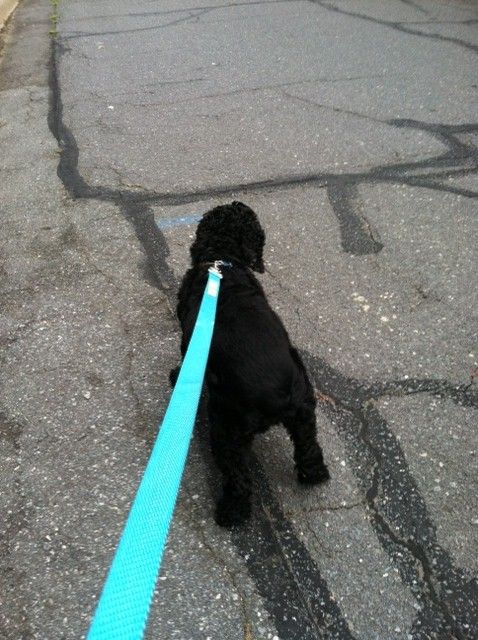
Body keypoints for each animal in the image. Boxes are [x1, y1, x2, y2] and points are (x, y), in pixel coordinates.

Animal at [172, 201, 328, 524]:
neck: (223, 262)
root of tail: (279, 396)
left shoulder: (188, 338)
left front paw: (175, 377)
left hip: (226, 426)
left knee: (237, 475)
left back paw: (231, 513)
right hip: (305, 409)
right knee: (308, 446)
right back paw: (314, 475)